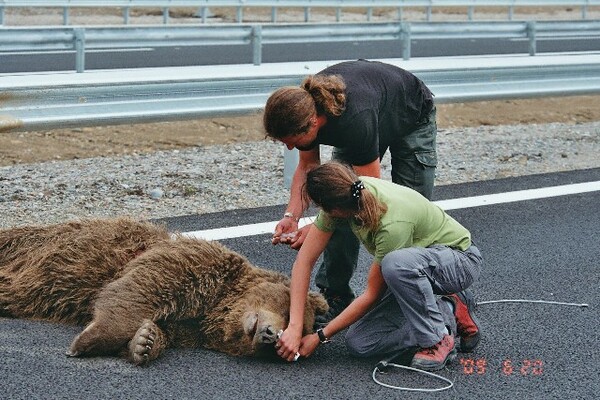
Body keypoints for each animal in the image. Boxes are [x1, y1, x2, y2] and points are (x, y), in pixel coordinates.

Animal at [0, 217, 328, 364]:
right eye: (288, 312)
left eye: (281, 346)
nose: (269, 335)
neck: (218, 306)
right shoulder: (193, 265)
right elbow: (137, 290)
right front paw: (84, 342)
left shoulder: (190, 328)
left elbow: (159, 330)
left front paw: (144, 342)